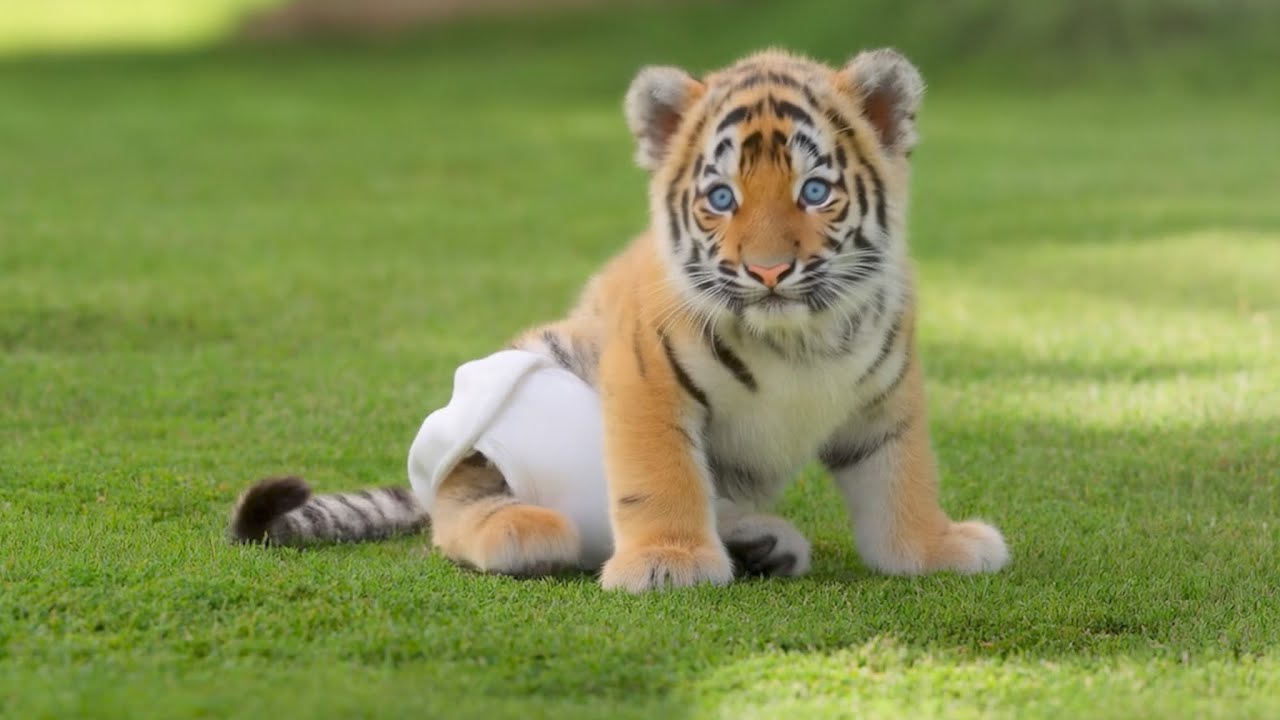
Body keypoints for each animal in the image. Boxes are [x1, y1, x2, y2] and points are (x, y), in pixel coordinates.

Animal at [229, 47, 1010, 592]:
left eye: (815, 192)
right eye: (721, 198)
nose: (767, 272)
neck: (798, 336)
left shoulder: (887, 399)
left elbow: (902, 478)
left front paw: (931, 550)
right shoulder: (648, 377)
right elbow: (660, 476)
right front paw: (668, 564)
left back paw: (759, 543)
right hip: (511, 405)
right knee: (454, 511)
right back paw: (523, 531)